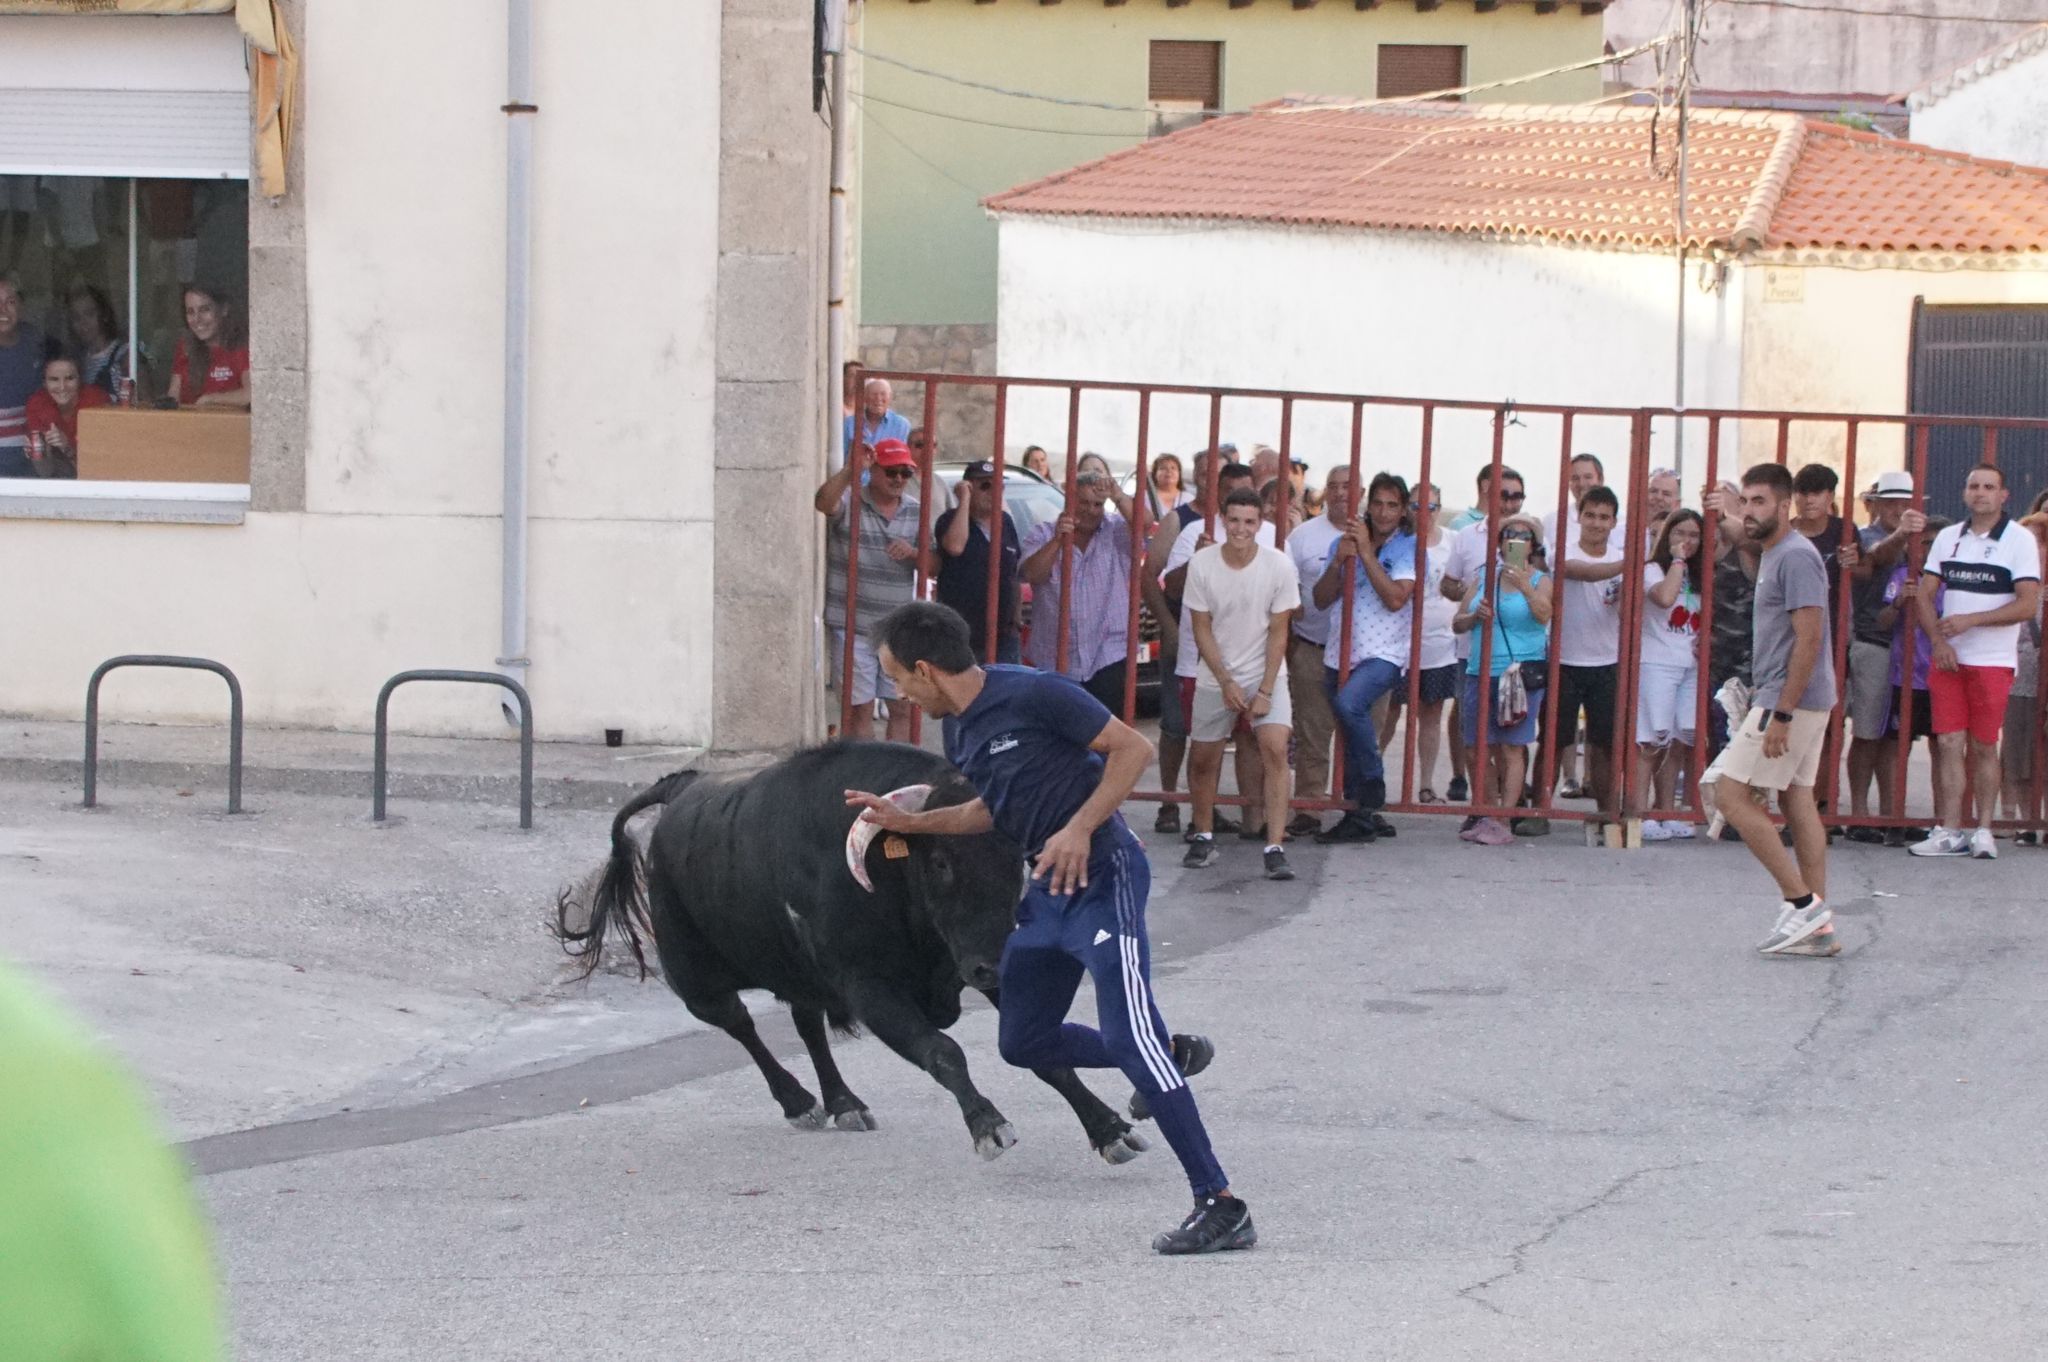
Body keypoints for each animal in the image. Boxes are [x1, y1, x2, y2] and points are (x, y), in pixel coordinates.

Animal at [552, 737, 1155, 1163]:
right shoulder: (871, 988)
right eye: (941, 861)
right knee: (739, 1023)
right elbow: (942, 1050)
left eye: (1016, 858)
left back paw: (843, 1103)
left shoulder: (980, 969)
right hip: (694, 975)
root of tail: (683, 788)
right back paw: (799, 1102)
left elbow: (1045, 1053)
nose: (989, 965)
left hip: (796, 969)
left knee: (806, 1024)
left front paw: (1110, 1129)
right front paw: (988, 1124)